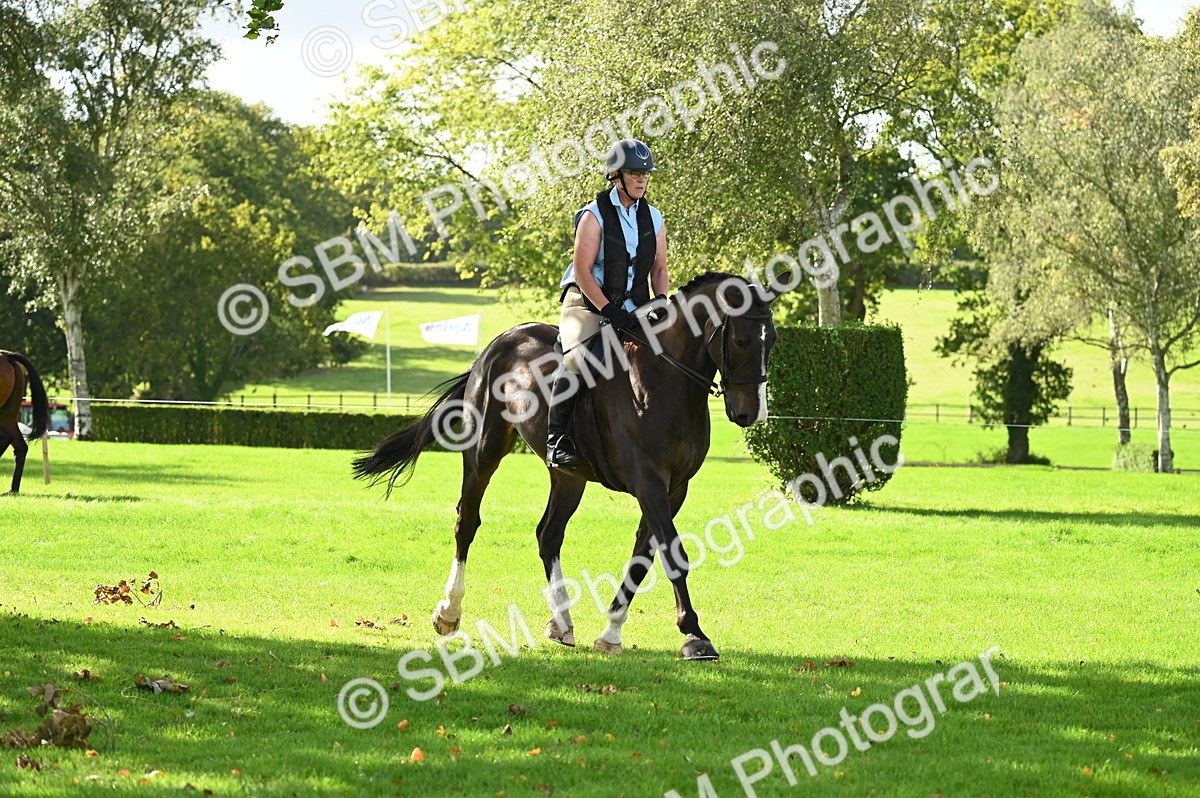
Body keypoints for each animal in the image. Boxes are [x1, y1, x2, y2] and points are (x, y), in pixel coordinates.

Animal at [353, 272, 782, 660]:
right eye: (740, 340)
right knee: (467, 522)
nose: (750, 414)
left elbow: (643, 558)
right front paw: (695, 637)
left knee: (549, 534)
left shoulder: (674, 489)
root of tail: (501, 341)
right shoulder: (649, 482)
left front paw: (611, 633)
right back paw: (448, 612)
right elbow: (673, 556)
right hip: (483, 453)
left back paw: (562, 624)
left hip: (568, 476)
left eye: (773, 340)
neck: (664, 381)